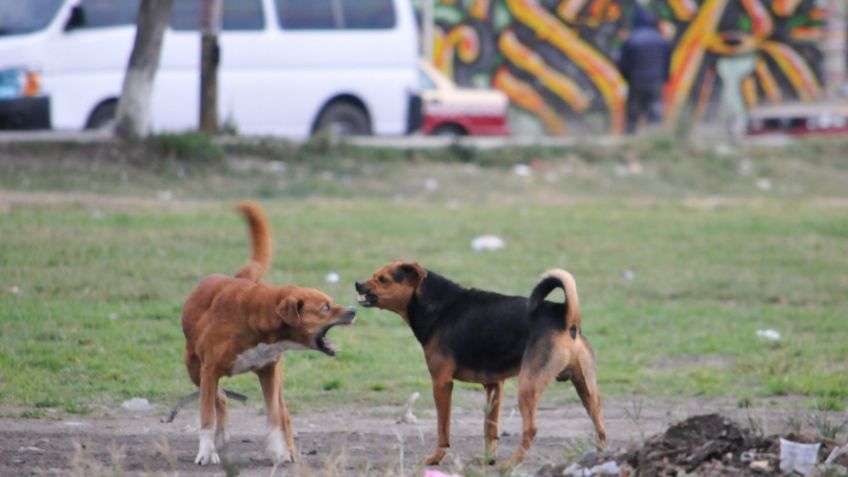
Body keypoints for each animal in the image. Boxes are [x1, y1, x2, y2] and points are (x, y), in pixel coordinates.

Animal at [182, 202, 354, 464]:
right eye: (325, 307)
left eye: (331, 302)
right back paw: (219, 438)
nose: (354, 310)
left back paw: (289, 450)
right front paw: (206, 452)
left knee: (283, 413)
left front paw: (277, 450)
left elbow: (273, 417)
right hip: (194, 368)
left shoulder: (269, 372)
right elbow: (206, 416)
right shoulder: (209, 370)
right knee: (219, 398)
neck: (257, 317)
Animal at [354, 260, 608, 464]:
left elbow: (443, 428)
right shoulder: (494, 385)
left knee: (531, 430)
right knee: (600, 427)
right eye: (374, 274)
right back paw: (601, 458)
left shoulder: (441, 383)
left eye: (383, 279)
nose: (357, 284)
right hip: (586, 389)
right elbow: (489, 429)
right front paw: (488, 460)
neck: (438, 306)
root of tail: (565, 316)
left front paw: (436, 458)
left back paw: (511, 465)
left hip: (528, 387)